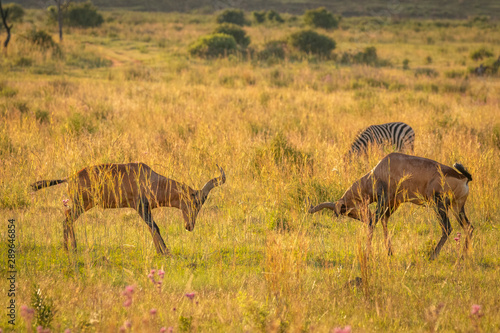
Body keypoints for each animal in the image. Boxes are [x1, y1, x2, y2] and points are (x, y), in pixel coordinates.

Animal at [32, 163, 226, 254]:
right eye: (195, 202)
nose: (189, 226)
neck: (149, 178)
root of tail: (69, 177)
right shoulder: (140, 207)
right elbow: (155, 227)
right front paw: (166, 252)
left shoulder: (144, 208)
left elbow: (151, 228)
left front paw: (160, 251)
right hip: (81, 204)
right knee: (67, 219)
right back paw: (71, 248)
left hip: (84, 204)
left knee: (67, 219)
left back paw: (71, 248)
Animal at [308, 152, 472, 258]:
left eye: (346, 210)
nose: (364, 218)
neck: (379, 170)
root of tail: (463, 177)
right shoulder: (392, 203)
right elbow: (384, 222)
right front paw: (390, 253)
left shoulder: (383, 200)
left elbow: (373, 223)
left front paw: (367, 254)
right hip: (457, 207)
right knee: (468, 227)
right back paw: (464, 256)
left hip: (439, 205)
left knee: (447, 228)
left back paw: (432, 255)